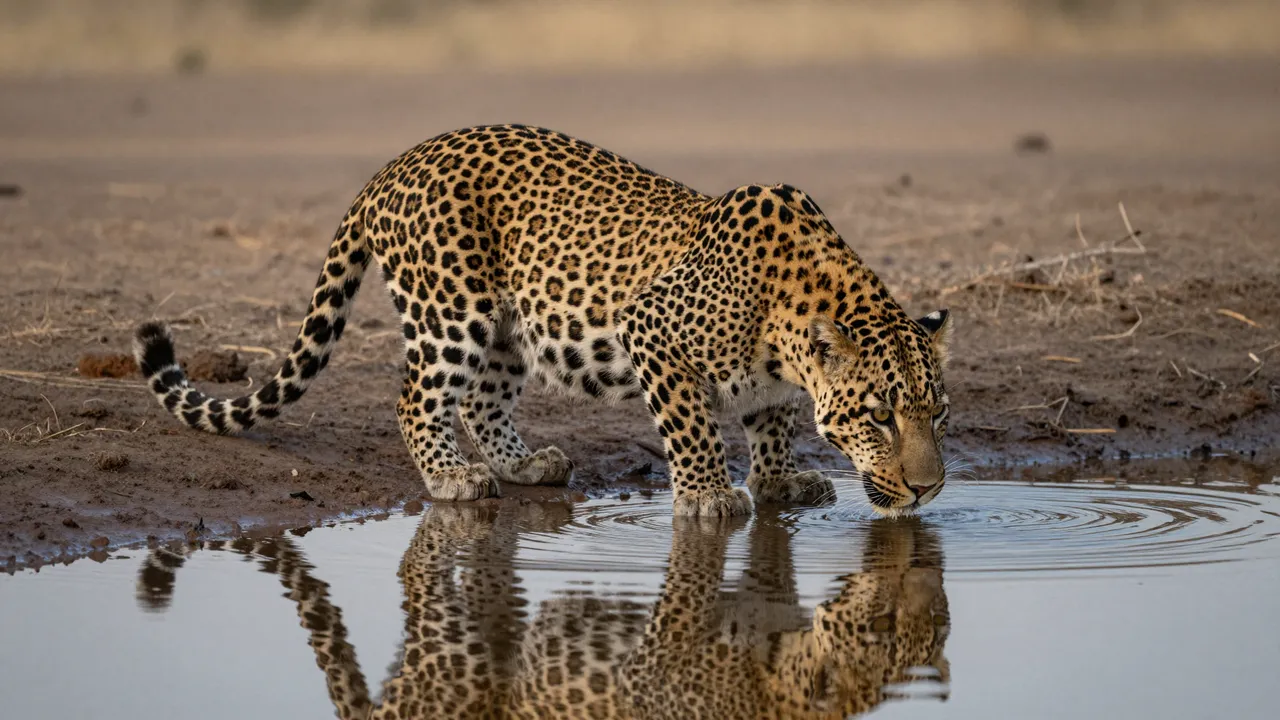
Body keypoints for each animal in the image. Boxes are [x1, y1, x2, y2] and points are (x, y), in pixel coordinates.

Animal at [132, 124, 955, 516]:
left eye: (938, 415)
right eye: (880, 417)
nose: (928, 492)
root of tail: (394, 164)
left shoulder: (777, 384)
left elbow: (773, 423)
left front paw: (782, 483)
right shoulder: (650, 327)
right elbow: (692, 428)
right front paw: (709, 497)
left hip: (505, 327)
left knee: (482, 400)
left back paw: (521, 464)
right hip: (452, 310)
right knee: (417, 399)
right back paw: (453, 479)